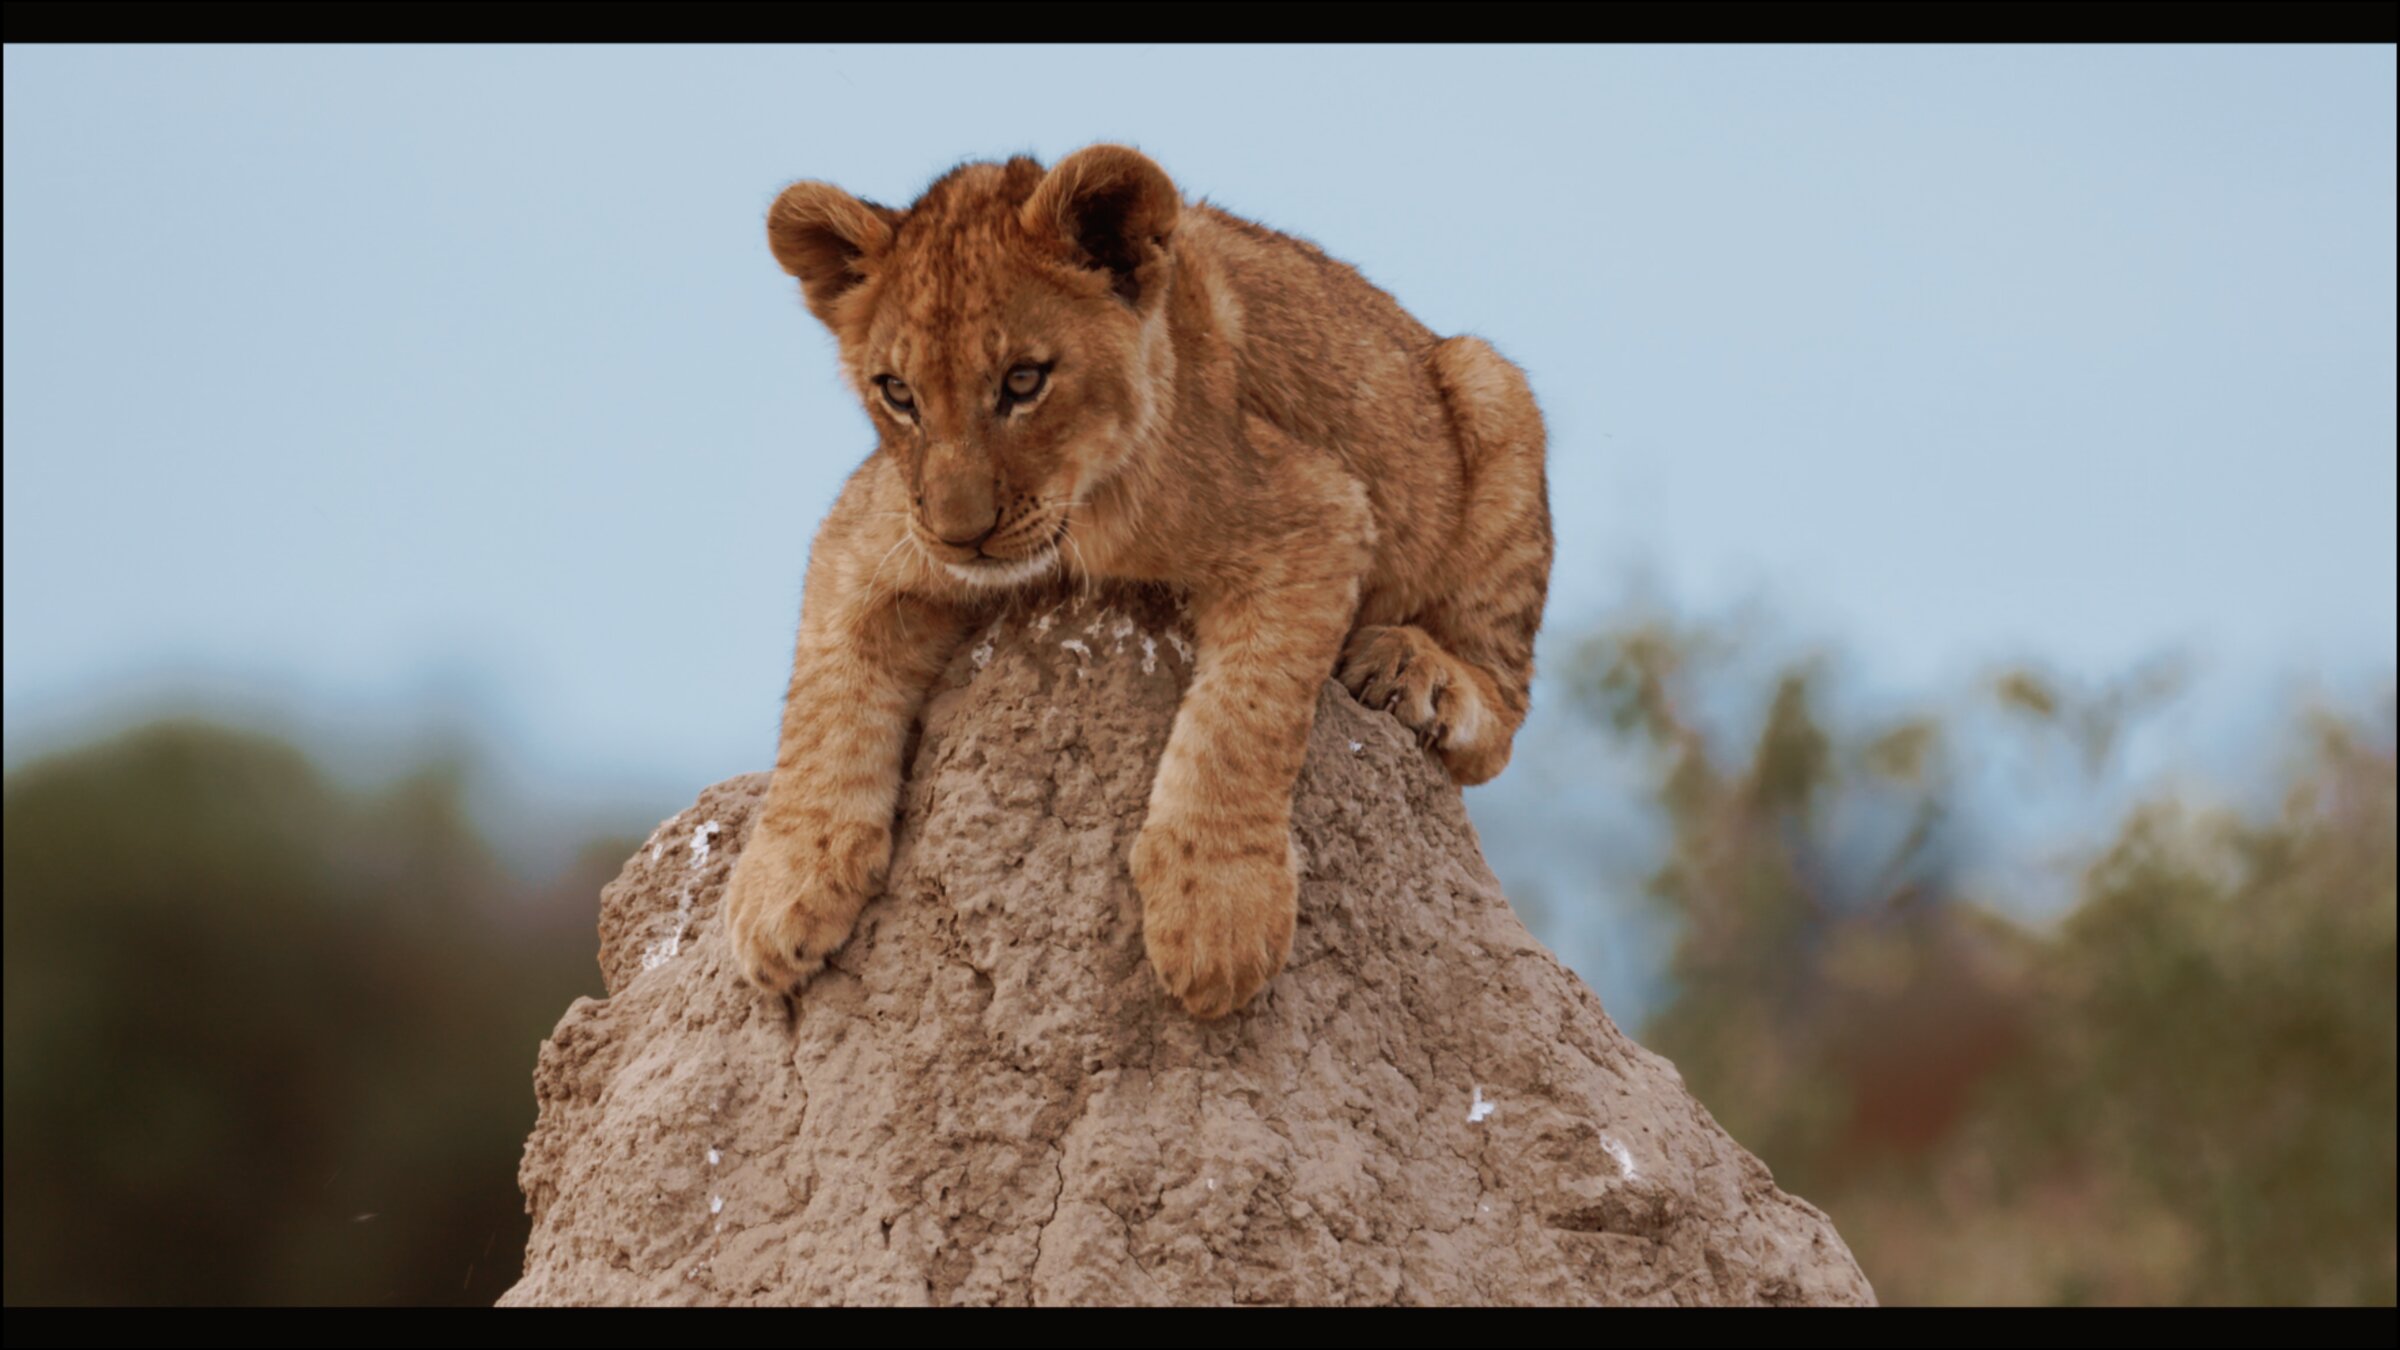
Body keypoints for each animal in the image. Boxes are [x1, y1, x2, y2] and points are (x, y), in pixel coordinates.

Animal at [724, 145, 1552, 1019]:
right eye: (898, 393)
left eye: (1024, 380)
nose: (961, 535)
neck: (1083, 506)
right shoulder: (870, 531)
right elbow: (824, 696)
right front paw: (780, 893)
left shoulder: (1316, 508)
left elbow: (1242, 718)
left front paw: (1218, 913)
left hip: (1493, 391)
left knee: (1501, 710)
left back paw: (1411, 672)